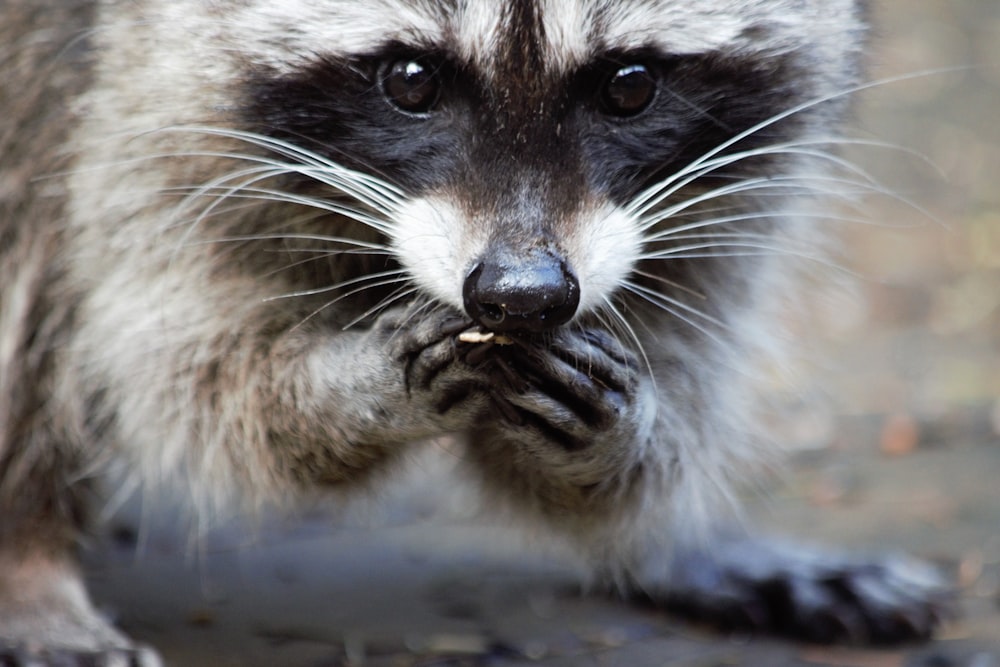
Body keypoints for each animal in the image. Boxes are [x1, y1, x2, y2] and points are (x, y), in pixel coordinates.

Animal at [0, 0, 948, 664]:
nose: (523, 297)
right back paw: (29, 563)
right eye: (411, 79)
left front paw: (634, 467)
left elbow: (677, 312)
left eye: (630, 84)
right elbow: (175, 360)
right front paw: (344, 391)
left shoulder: (726, 176)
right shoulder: (148, 100)